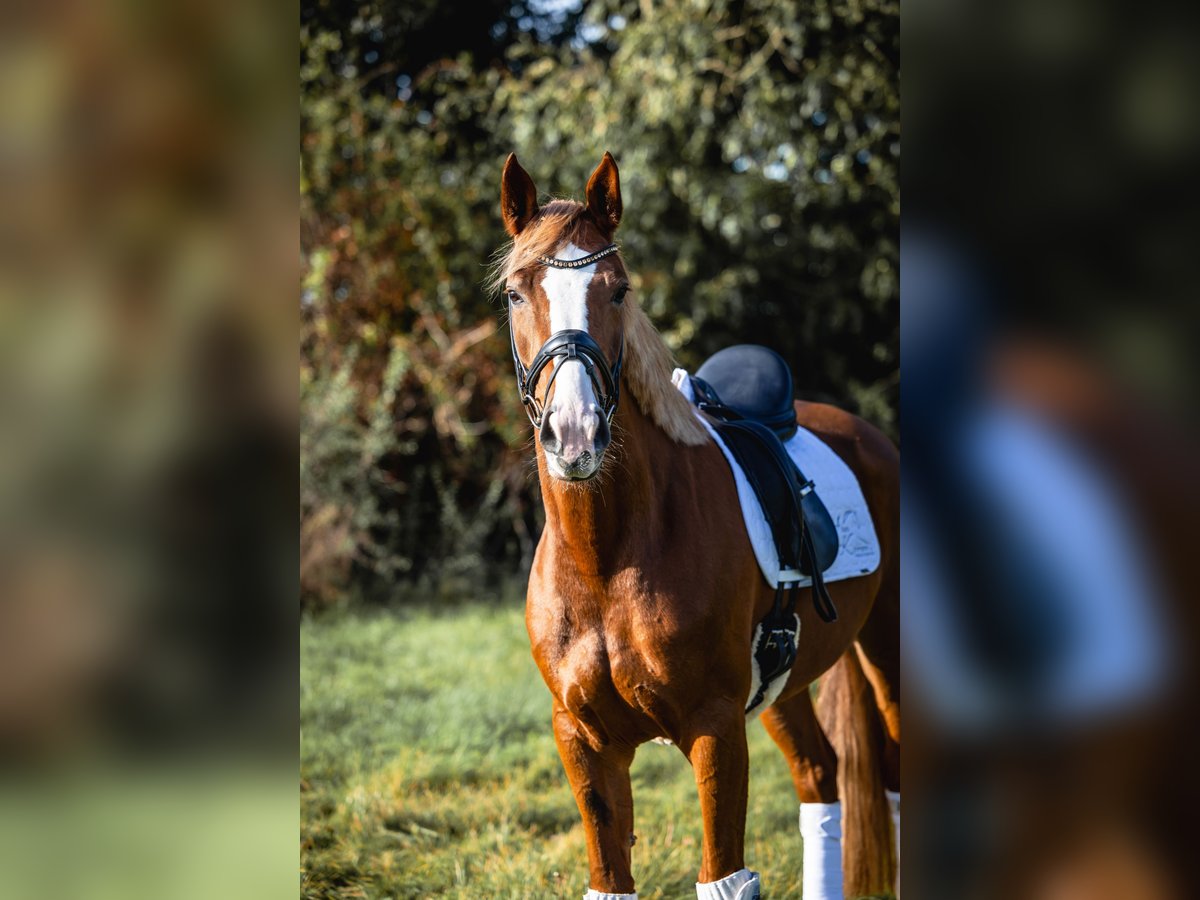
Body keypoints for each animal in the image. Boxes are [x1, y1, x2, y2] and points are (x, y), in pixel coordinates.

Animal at [492, 151, 897, 897]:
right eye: (514, 293)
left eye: (618, 290)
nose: (575, 434)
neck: (608, 560)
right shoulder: (585, 744)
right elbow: (609, 878)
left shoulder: (715, 730)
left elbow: (723, 877)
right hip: (784, 688)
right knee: (821, 776)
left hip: (885, 649)